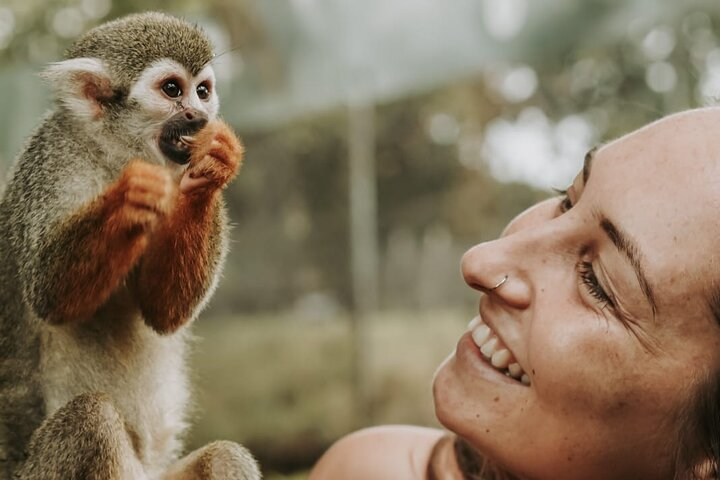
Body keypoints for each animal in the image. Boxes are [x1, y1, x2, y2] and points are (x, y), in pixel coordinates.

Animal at [0, 12, 260, 480]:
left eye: (202, 91)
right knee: (89, 418)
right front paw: (132, 190)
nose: (198, 115)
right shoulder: (50, 162)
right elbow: (48, 294)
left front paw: (214, 166)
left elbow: (163, 311)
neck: (114, 154)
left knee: (225, 455)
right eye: (172, 89)